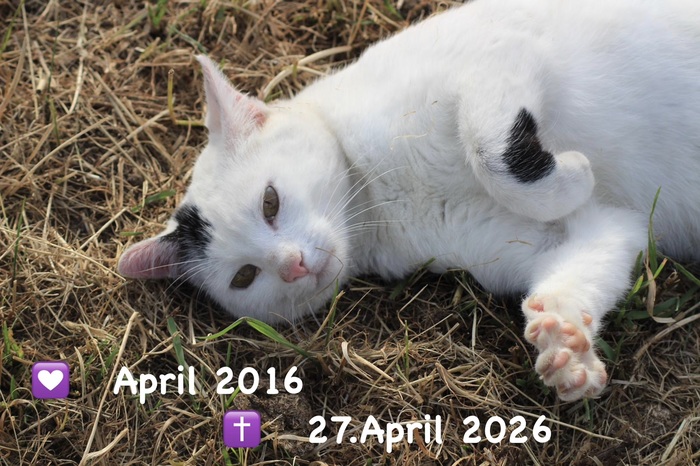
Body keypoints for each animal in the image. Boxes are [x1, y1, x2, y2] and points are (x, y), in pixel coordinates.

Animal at [117, 0, 700, 402]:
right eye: (244, 277)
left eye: (270, 202)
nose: (293, 266)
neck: (379, 200)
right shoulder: (603, 227)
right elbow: (586, 260)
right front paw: (565, 348)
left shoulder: (502, 54)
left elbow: (490, 150)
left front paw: (574, 174)